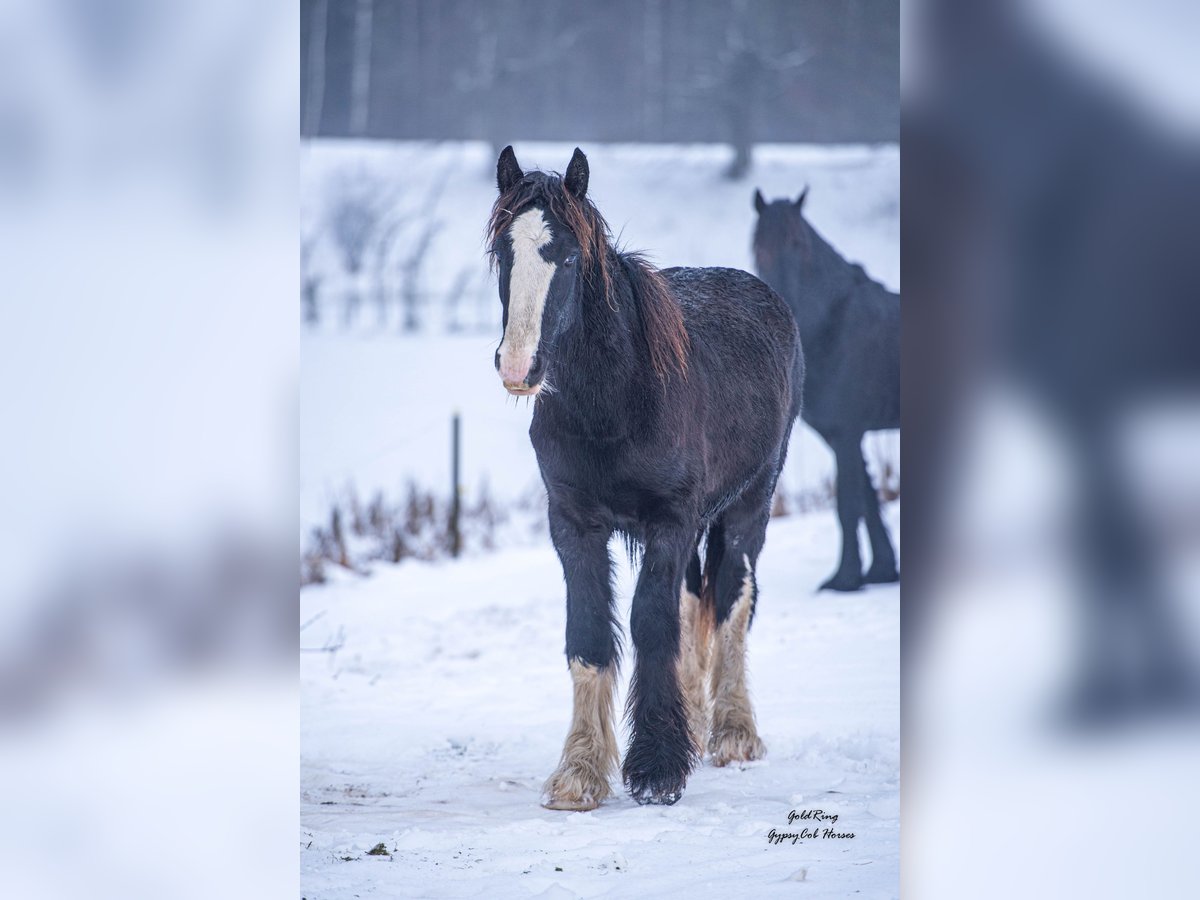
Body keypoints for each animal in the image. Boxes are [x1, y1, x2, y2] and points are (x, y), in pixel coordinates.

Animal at [487, 148, 806, 811]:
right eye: (504, 253)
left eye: (569, 258)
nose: (518, 366)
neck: (616, 400)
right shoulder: (574, 527)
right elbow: (590, 636)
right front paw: (580, 772)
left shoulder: (669, 523)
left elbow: (652, 627)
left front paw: (657, 768)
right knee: (693, 605)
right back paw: (697, 723)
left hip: (749, 507)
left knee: (733, 601)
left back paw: (733, 732)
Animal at [753, 190, 897, 592]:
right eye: (758, 246)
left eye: (799, 244)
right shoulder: (842, 434)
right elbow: (867, 501)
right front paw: (879, 571)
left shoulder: (848, 432)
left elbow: (848, 505)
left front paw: (845, 579)